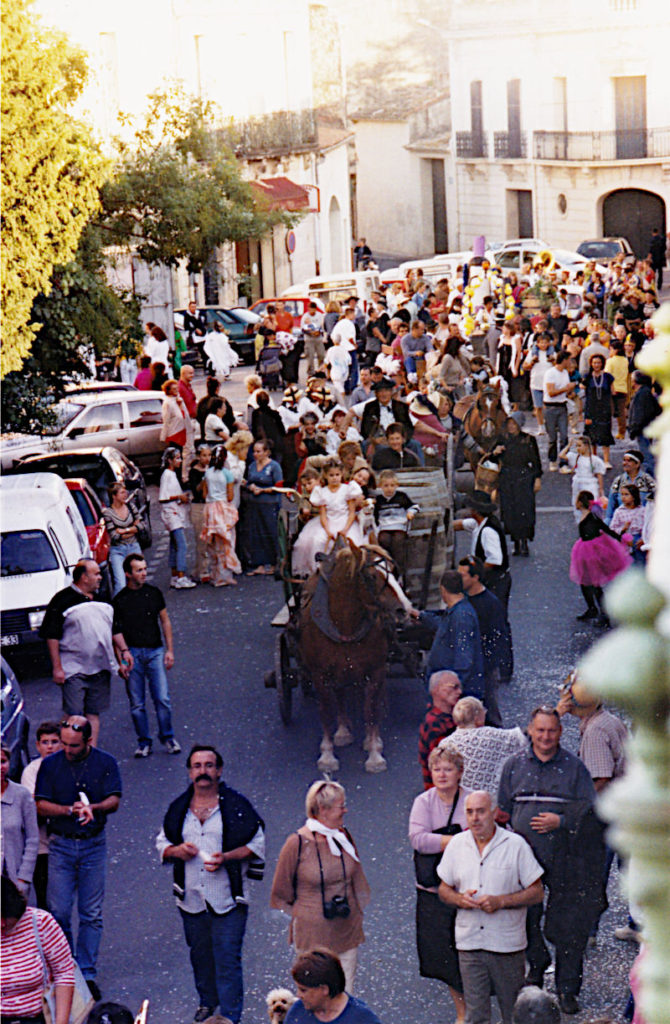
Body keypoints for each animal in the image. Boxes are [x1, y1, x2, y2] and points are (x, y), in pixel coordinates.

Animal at [301, 540, 403, 770]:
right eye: (372, 576)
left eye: (393, 570)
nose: (402, 610)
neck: (344, 625)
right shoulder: (320, 675)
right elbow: (326, 712)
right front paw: (327, 755)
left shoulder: (375, 670)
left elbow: (371, 710)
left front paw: (374, 753)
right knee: (339, 697)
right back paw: (342, 731)